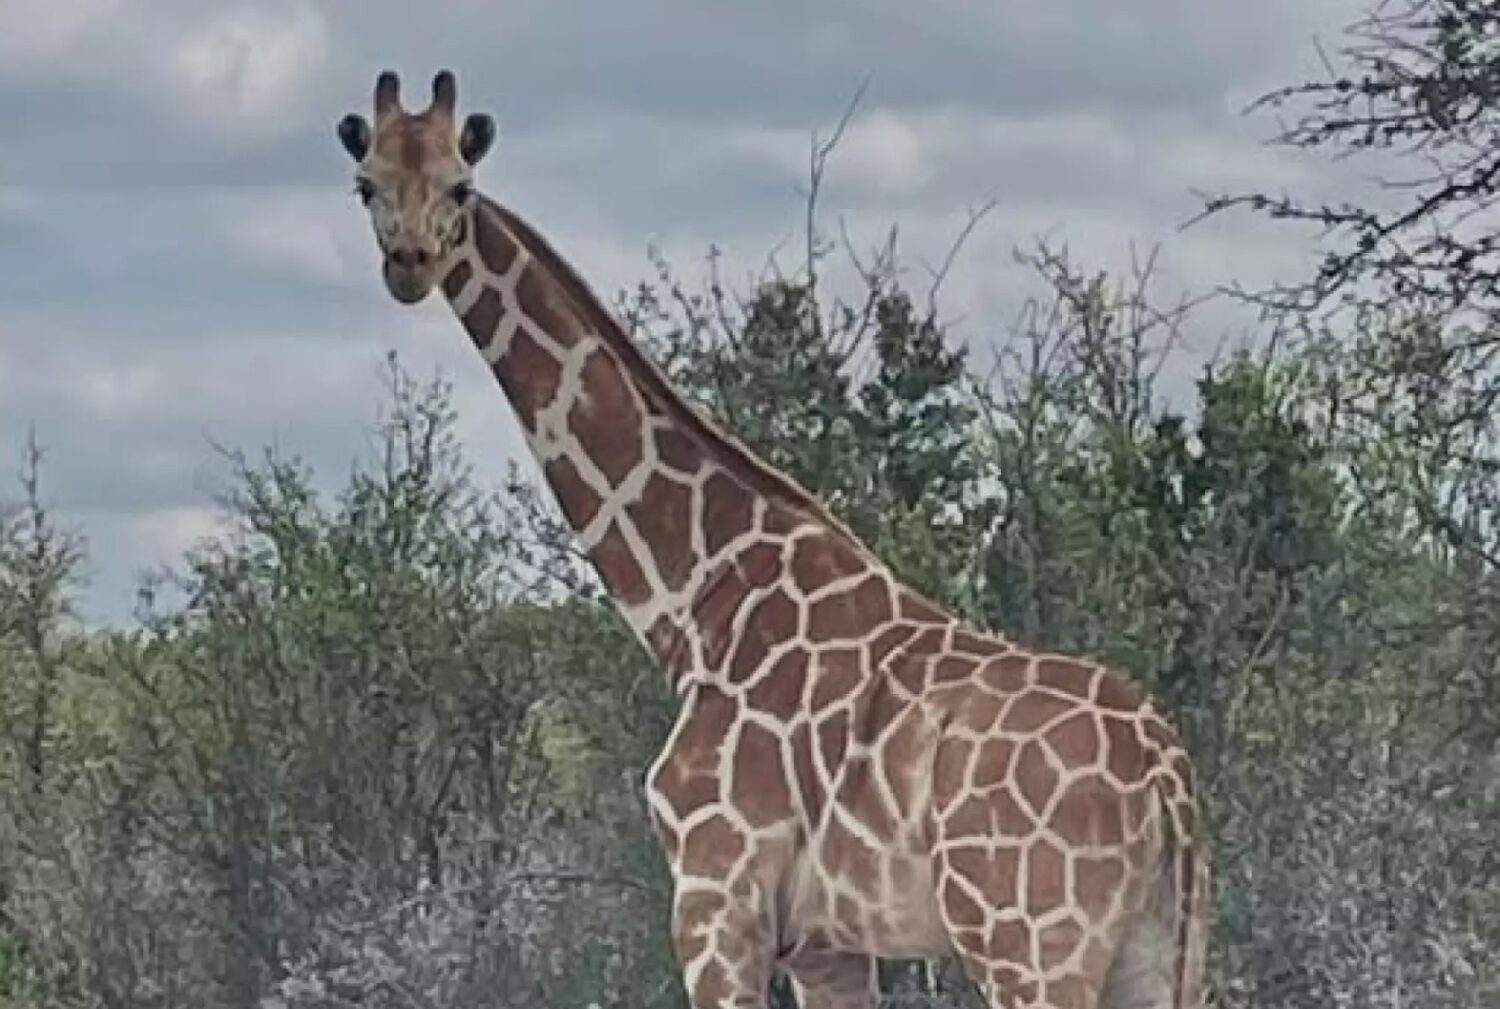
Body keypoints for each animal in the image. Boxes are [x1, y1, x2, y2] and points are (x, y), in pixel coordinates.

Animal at [335, 70, 1210, 1009]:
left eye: (460, 186)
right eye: (367, 184)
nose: (410, 264)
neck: (697, 595)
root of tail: (1165, 772)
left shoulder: (716, 900)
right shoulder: (828, 944)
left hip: (1030, 941)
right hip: (1155, 948)